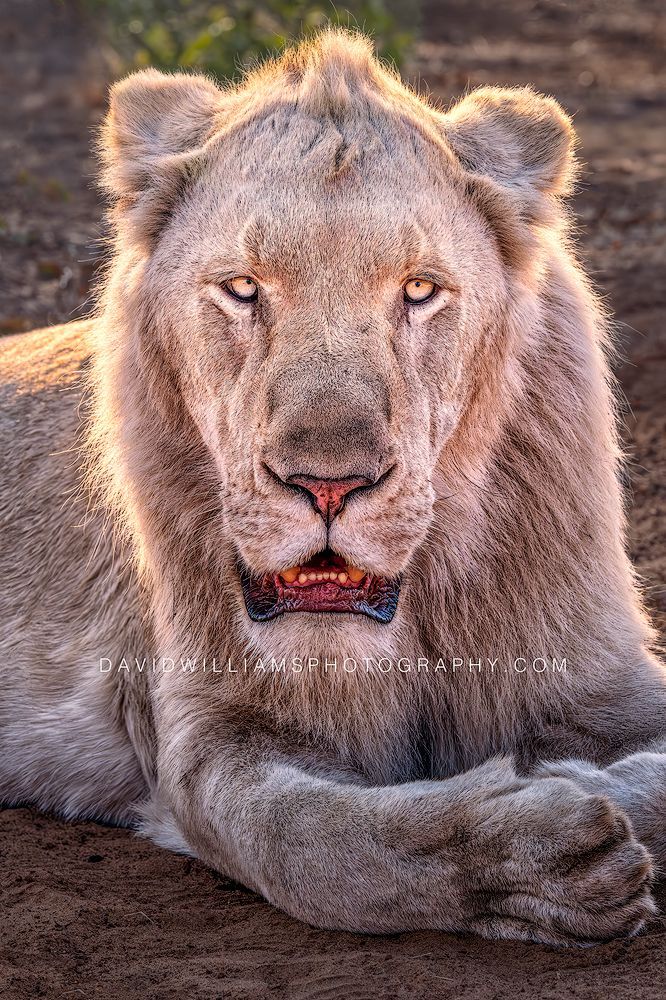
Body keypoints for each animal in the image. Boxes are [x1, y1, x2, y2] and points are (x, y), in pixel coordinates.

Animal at [1, 30, 665, 946]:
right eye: (243, 288)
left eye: (419, 290)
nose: (327, 486)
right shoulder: (211, 737)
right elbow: (322, 844)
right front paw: (540, 843)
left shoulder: (605, 671)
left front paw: (568, 789)